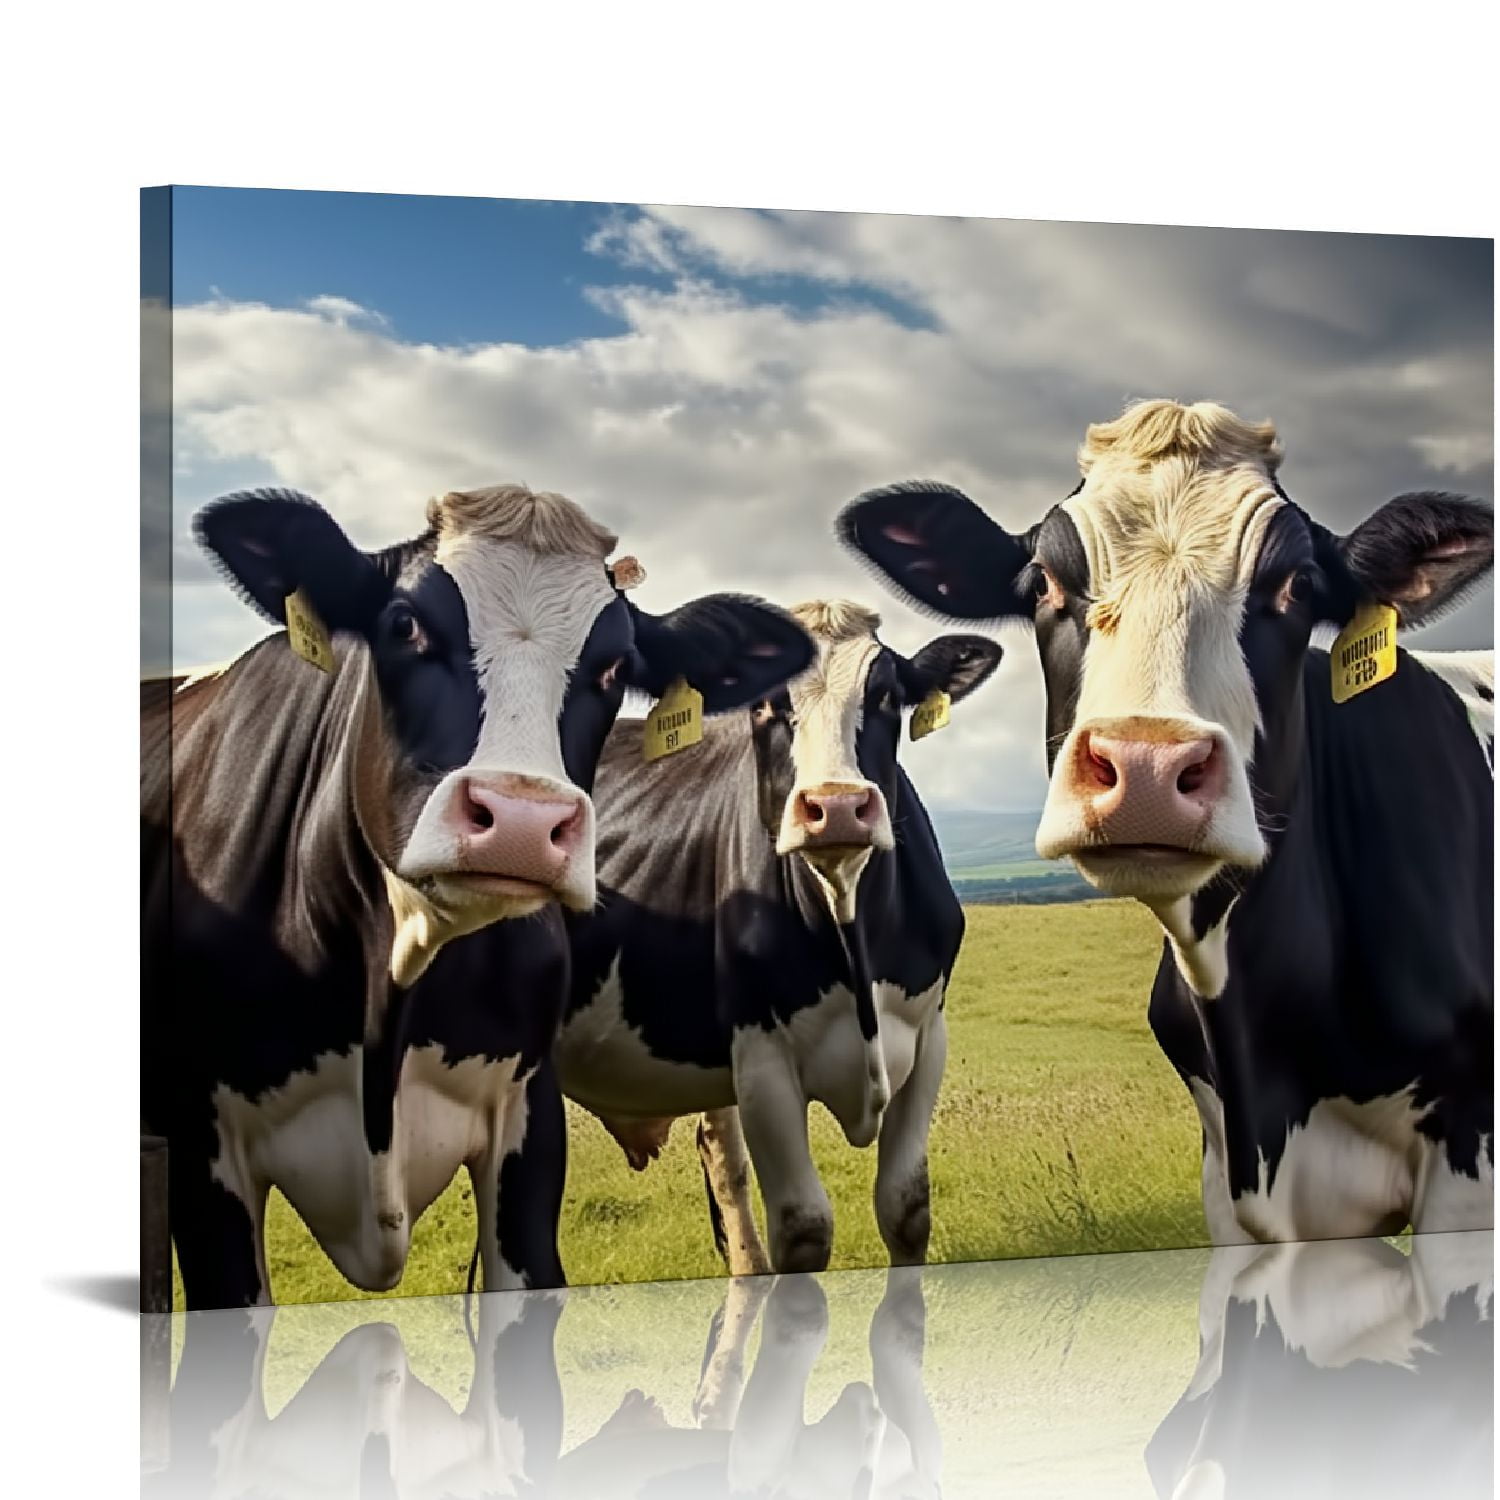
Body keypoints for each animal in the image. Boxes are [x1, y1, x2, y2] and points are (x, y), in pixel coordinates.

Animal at [557, 599, 1003, 1273]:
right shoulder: (761, 1058)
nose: (836, 807)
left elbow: (906, 1209)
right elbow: (804, 1227)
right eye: (764, 704)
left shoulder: (928, 1037)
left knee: (720, 1155)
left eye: (886, 695)